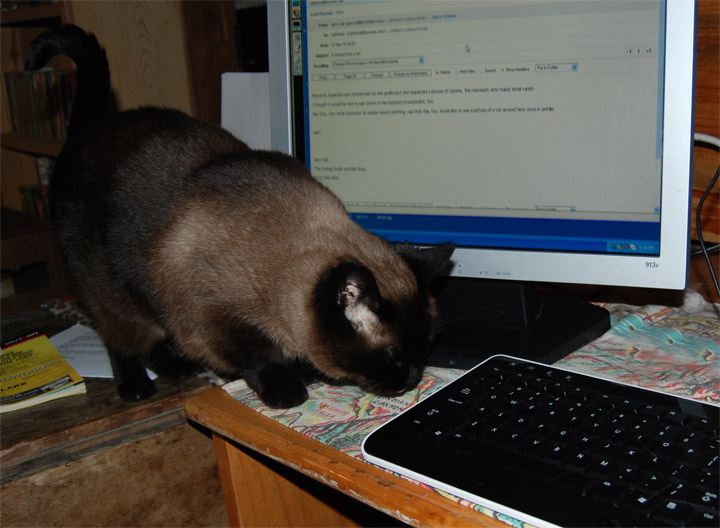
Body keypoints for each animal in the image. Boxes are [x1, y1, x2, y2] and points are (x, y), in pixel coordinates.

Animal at [25, 25, 455, 408]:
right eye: (395, 356)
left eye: (425, 350)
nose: (412, 379)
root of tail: (87, 130)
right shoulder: (211, 319)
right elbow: (257, 358)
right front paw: (288, 389)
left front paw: (303, 371)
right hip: (114, 292)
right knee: (123, 338)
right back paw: (135, 387)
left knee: (154, 341)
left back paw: (176, 368)